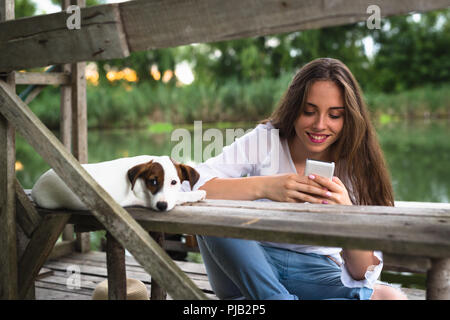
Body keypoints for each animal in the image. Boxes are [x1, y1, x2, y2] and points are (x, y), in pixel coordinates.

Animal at [31, 156, 206, 211]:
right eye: (153, 181)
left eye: (174, 182)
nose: (161, 206)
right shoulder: (145, 200)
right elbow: (180, 197)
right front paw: (198, 193)